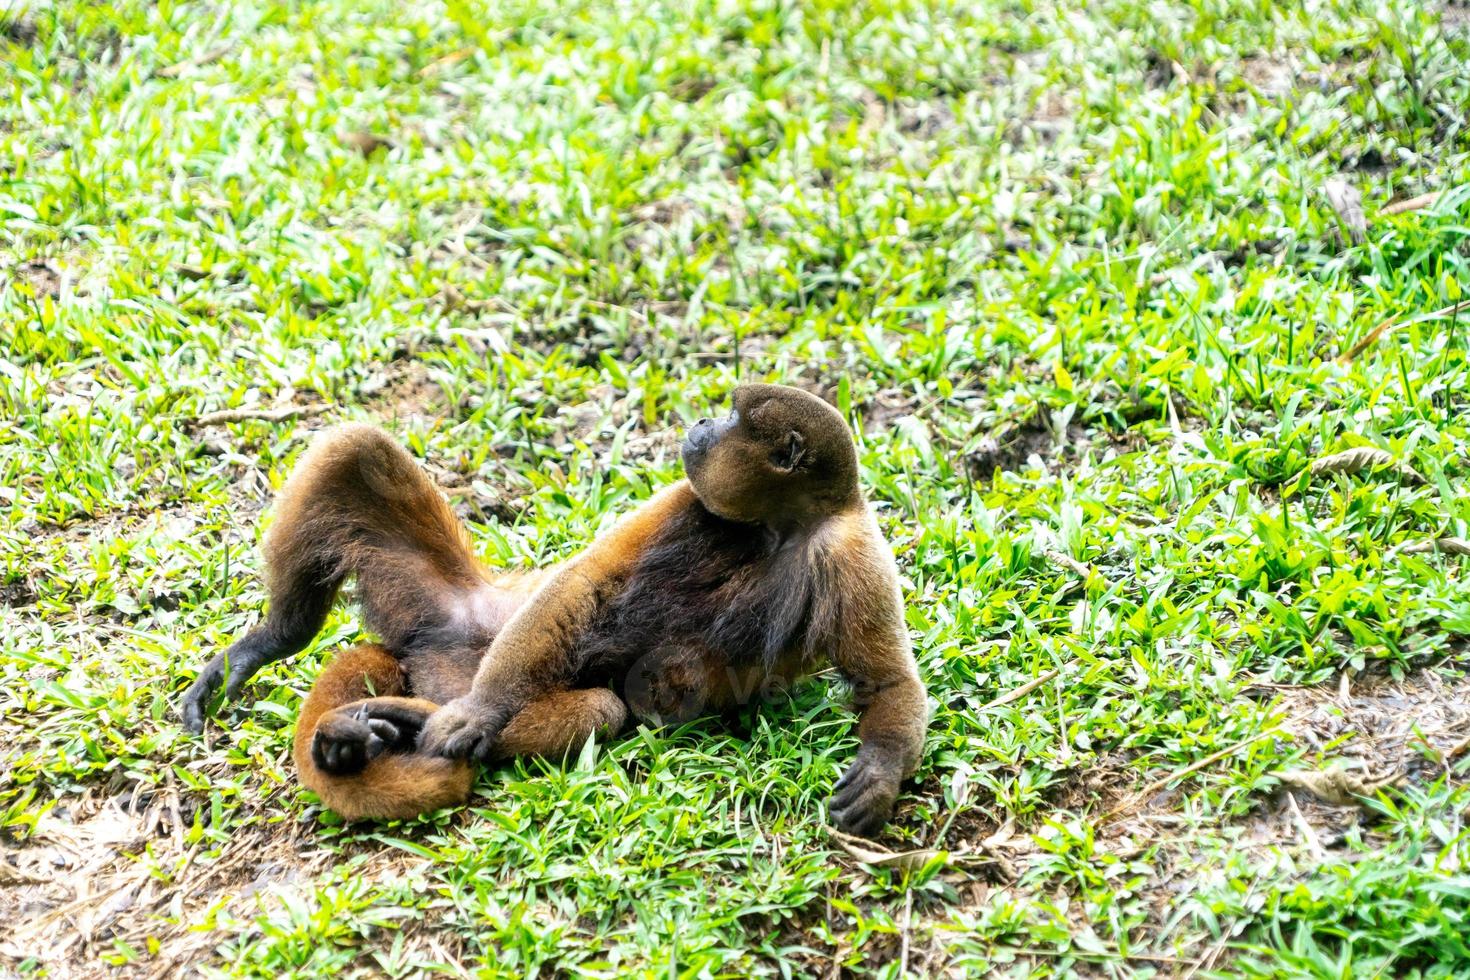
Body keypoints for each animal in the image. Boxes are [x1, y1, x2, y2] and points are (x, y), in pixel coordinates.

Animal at [180, 382, 917, 834]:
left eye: (734, 418)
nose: (703, 423)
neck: (774, 527)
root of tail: (437, 651)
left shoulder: (853, 549)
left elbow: (887, 682)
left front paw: (881, 773)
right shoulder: (688, 495)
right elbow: (586, 583)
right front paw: (479, 712)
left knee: (602, 708)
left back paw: (388, 726)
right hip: (444, 606)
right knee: (356, 450)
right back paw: (278, 642)